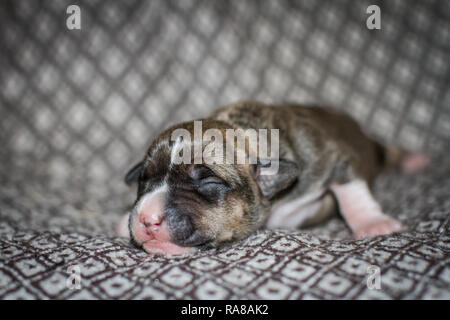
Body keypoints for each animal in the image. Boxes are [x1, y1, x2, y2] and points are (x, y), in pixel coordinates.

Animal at [116, 100, 428, 255]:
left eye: (209, 182)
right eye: (144, 180)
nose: (147, 218)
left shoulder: (331, 158)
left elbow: (351, 189)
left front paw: (372, 222)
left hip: (371, 146)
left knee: (387, 152)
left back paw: (413, 159)